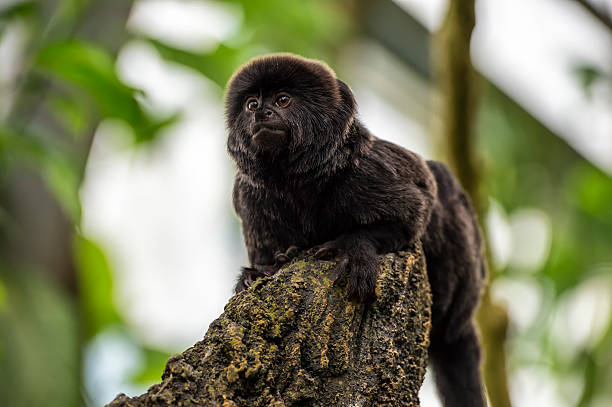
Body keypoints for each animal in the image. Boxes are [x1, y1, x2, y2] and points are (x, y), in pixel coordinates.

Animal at [225, 54, 488, 407]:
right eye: (252, 104)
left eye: (282, 100)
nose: (262, 113)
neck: (297, 183)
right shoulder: (248, 196)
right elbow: (265, 256)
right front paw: (262, 269)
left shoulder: (367, 171)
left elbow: (415, 211)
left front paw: (354, 249)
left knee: (441, 179)